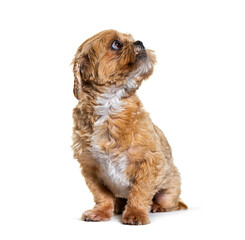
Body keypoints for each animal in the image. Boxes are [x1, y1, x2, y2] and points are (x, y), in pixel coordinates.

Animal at [72, 30, 187, 225]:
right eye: (116, 44)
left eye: (132, 39)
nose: (139, 42)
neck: (110, 109)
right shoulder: (90, 169)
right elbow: (102, 195)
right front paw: (101, 212)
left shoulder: (150, 162)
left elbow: (140, 191)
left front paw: (136, 213)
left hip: (169, 190)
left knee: (170, 202)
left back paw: (157, 207)